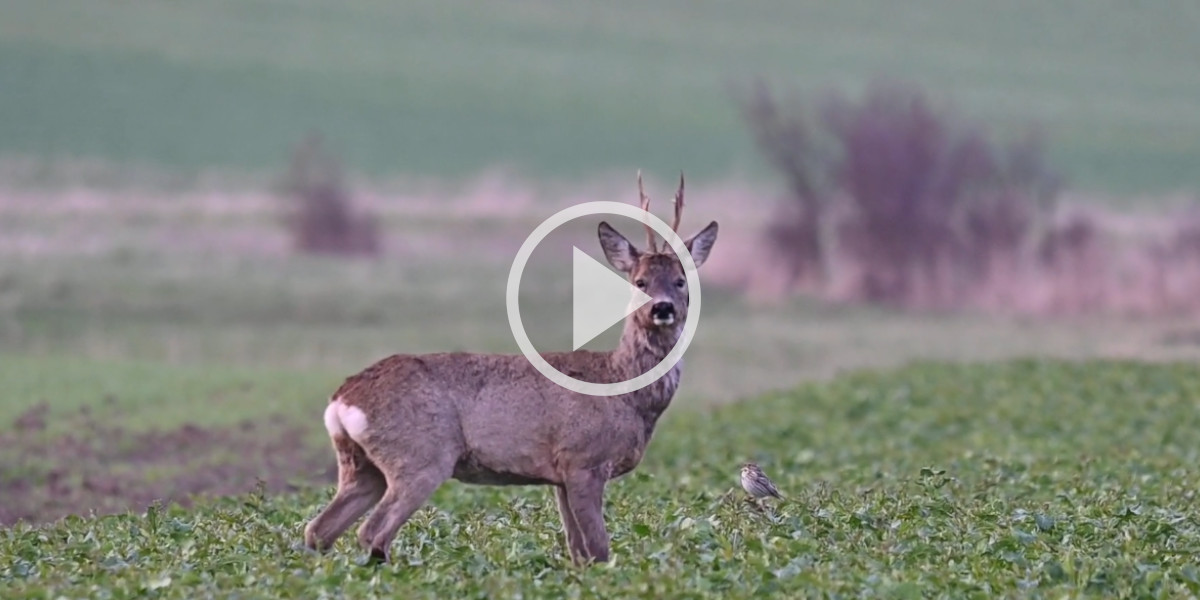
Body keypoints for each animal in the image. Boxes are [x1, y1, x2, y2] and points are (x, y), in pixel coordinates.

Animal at [304, 175, 715, 566]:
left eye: (681, 281)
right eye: (639, 282)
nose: (662, 308)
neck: (624, 389)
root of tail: (342, 399)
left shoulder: (559, 476)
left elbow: (577, 553)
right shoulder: (583, 460)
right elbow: (599, 551)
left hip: (361, 465)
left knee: (319, 529)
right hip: (419, 457)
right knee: (371, 532)